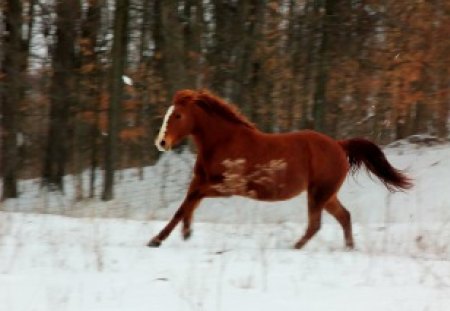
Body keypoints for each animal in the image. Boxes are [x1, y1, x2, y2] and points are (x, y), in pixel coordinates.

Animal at [149, 89, 414, 250]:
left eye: (178, 115)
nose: (161, 142)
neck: (223, 142)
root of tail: (339, 145)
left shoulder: (227, 187)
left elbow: (189, 202)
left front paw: (159, 239)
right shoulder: (200, 181)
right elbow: (186, 205)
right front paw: (183, 233)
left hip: (318, 194)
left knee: (315, 224)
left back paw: (295, 248)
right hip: (327, 195)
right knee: (344, 217)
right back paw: (349, 248)